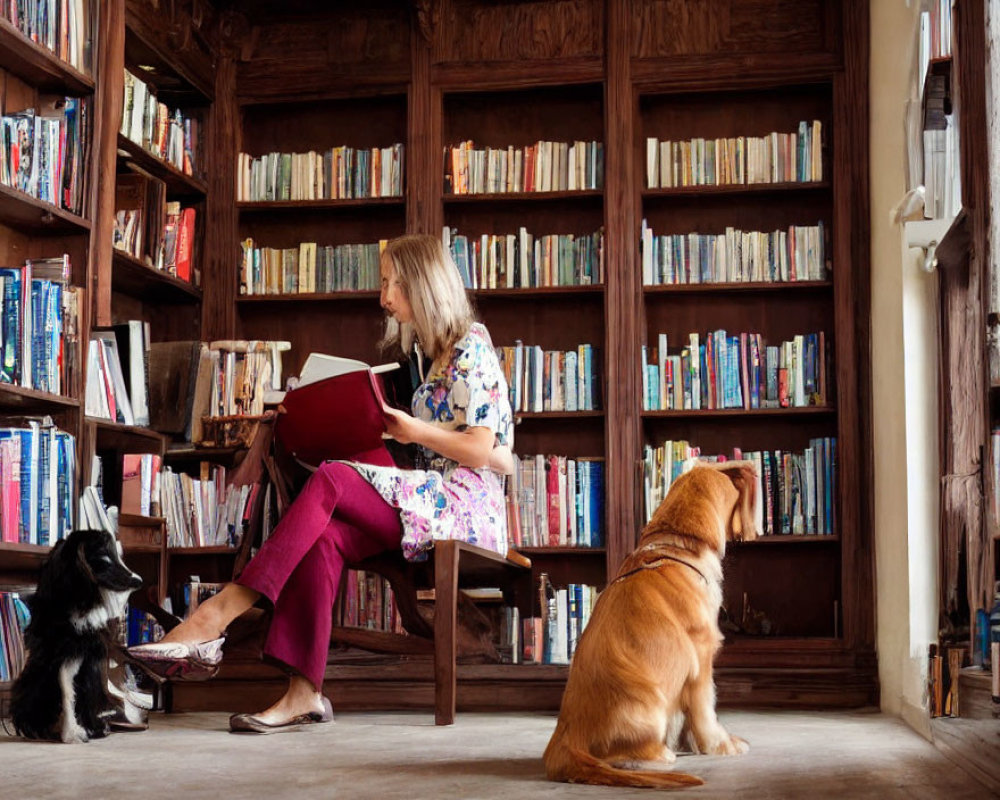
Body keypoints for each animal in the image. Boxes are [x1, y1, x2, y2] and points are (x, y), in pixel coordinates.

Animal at [9, 532, 142, 744]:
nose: (139, 581)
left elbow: (82, 693)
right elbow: (66, 690)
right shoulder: (64, 654)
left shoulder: (88, 655)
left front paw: (88, 729)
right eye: (104, 559)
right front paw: (72, 733)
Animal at [548, 462, 756, 788]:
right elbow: (706, 708)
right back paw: (656, 756)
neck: (680, 551)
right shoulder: (700, 658)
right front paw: (721, 745)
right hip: (647, 703)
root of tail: (564, 748)